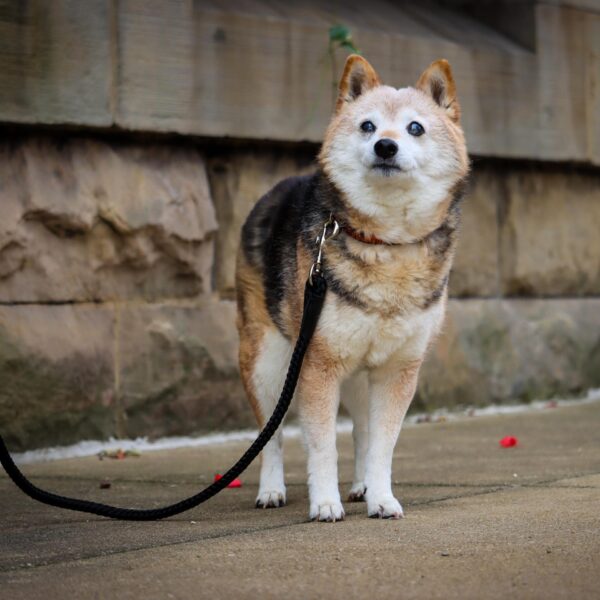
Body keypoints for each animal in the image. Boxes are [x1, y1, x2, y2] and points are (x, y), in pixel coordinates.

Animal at [237, 54, 472, 520]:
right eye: (367, 125)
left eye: (415, 127)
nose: (385, 146)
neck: (385, 241)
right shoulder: (318, 364)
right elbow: (321, 445)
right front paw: (325, 503)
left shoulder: (398, 369)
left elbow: (382, 445)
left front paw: (382, 497)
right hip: (268, 361)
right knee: (270, 436)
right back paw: (271, 490)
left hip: (360, 375)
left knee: (361, 431)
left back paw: (363, 485)